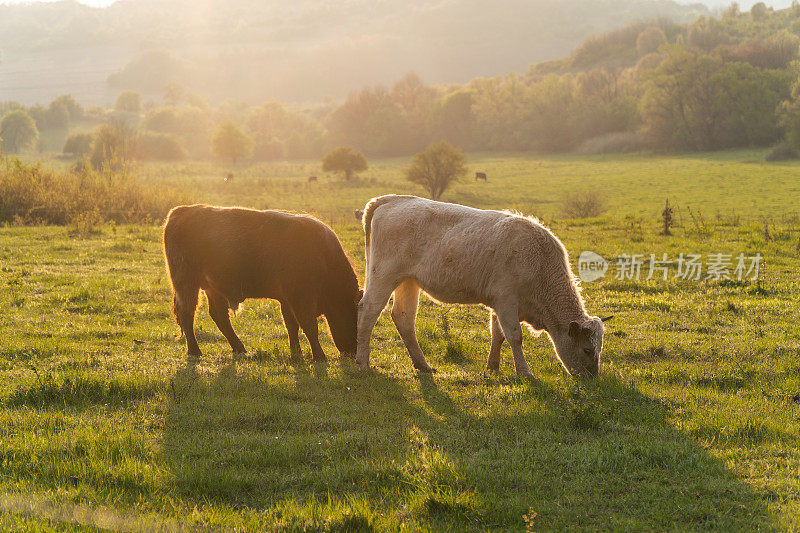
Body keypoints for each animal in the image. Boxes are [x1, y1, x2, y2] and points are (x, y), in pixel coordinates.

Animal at [162, 204, 362, 362]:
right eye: (355, 318)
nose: (353, 352)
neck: (325, 257)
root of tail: (180, 211)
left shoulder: (287, 300)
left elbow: (292, 327)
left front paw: (296, 353)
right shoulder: (301, 298)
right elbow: (309, 326)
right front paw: (319, 356)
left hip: (212, 288)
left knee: (219, 316)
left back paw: (239, 348)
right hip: (186, 284)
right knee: (187, 314)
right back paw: (195, 351)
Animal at [356, 196, 612, 378]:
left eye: (599, 349)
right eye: (587, 350)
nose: (593, 379)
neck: (539, 261)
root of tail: (391, 199)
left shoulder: (498, 304)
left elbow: (497, 335)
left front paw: (493, 366)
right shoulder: (506, 301)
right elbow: (514, 336)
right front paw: (525, 372)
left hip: (408, 282)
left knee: (403, 318)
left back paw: (423, 365)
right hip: (384, 277)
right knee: (368, 311)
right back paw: (363, 363)